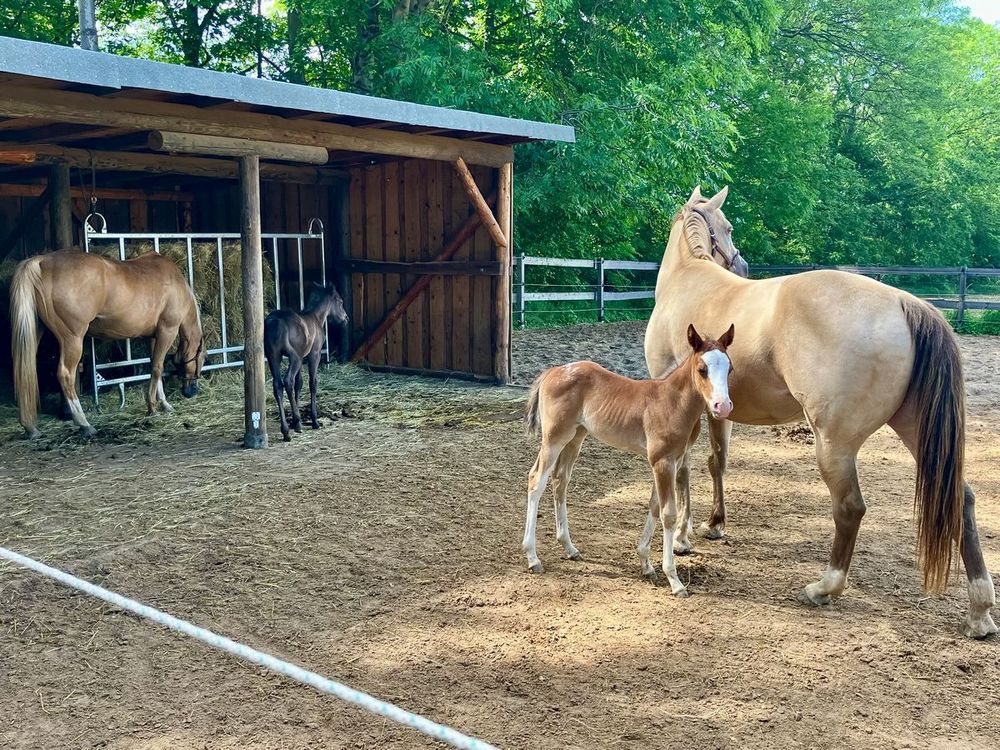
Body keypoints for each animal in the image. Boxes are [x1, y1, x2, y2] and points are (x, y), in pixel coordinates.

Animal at [10, 248, 204, 439]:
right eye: (201, 361)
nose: (192, 392)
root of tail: (42, 261)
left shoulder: (153, 337)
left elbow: (155, 367)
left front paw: (164, 404)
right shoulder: (167, 331)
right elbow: (158, 368)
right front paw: (152, 408)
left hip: (37, 332)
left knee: (25, 369)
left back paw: (31, 428)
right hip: (72, 338)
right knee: (65, 374)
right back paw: (85, 424)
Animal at [264, 283, 348, 442]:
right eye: (340, 301)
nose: (346, 318)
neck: (316, 317)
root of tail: (275, 322)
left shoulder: (303, 356)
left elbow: (299, 383)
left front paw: (296, 421)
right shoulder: (313, 354)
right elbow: (312, 383)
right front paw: (314, 421)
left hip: (274, 357)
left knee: (278, 385)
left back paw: (286, 429)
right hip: (294, 358)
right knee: (287, 381)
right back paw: (295, 423)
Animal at [522, 323, 735, 597]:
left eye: (729, 369)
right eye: (702, 369)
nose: (723, 406)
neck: (672, 402)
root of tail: (553, 371)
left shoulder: (671, 461)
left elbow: (654, 506)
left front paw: (646, 564)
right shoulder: (662, 462)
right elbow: (668, 514)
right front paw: (674, 580)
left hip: (576, 437)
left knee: (561, 481)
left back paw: (569, 548)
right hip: (554, 438)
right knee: (536, 479)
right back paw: (532, 557)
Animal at [644, 185, 997, 638]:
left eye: (729, 226)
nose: (742, 264)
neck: (688, 281)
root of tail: (904, 303)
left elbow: (685, 468)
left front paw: (683, 537)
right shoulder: (717, 410)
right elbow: (715, 462)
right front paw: (714, 524)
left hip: (834, 444)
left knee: (850, 508)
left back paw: (824, 587)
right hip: (920, 435)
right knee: (961, 499)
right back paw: (980, 610)